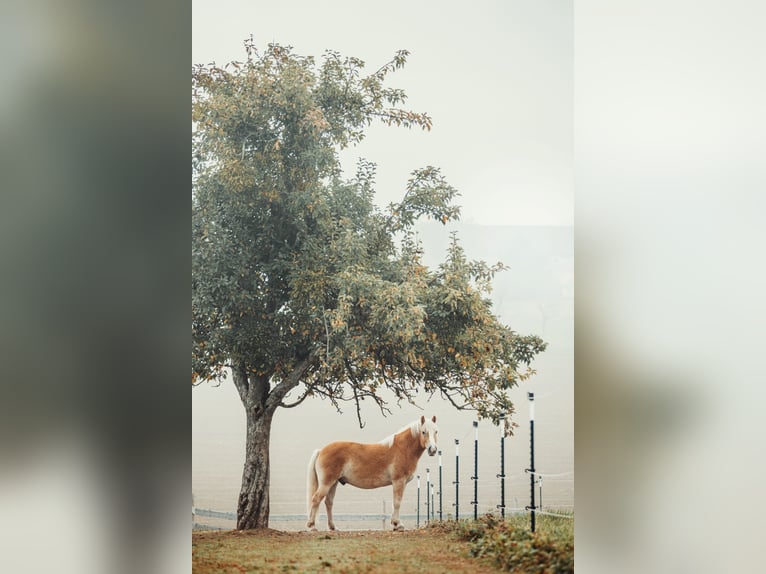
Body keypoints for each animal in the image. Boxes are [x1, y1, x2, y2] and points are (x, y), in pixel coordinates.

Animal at [306, 416, 438, 532]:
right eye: (423, 432)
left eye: (436, 431)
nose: (433, 450)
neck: (403, 449)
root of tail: (321, 450)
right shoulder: (399, 481)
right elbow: (397, 502)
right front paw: (397, 525)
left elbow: (396, 502)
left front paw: (395, 524)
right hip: (326, 483)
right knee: (316, 499)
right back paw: (312, 526)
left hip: (333, 483)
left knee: (329, 502)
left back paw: (333, 527)